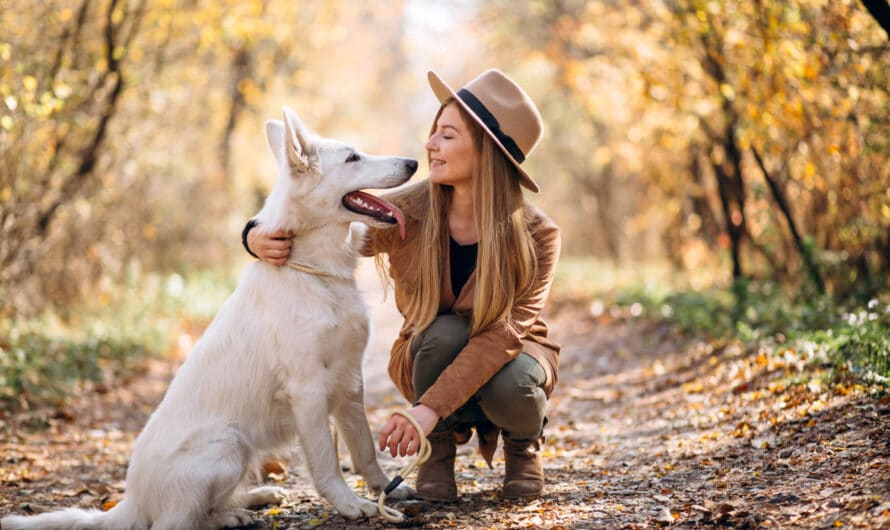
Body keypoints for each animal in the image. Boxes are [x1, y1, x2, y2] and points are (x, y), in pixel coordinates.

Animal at [3, 108, 416, 528]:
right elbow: (328, 463)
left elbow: (364, 449)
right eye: (352, 158)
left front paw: (385, 489)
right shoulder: (309, 390)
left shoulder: (350, 383)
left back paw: (254, 500)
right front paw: (351, 505)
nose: (414, 163)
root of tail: (131, 501)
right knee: (180, 521)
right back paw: (233, 514)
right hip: (227, 443)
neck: (314, 272)